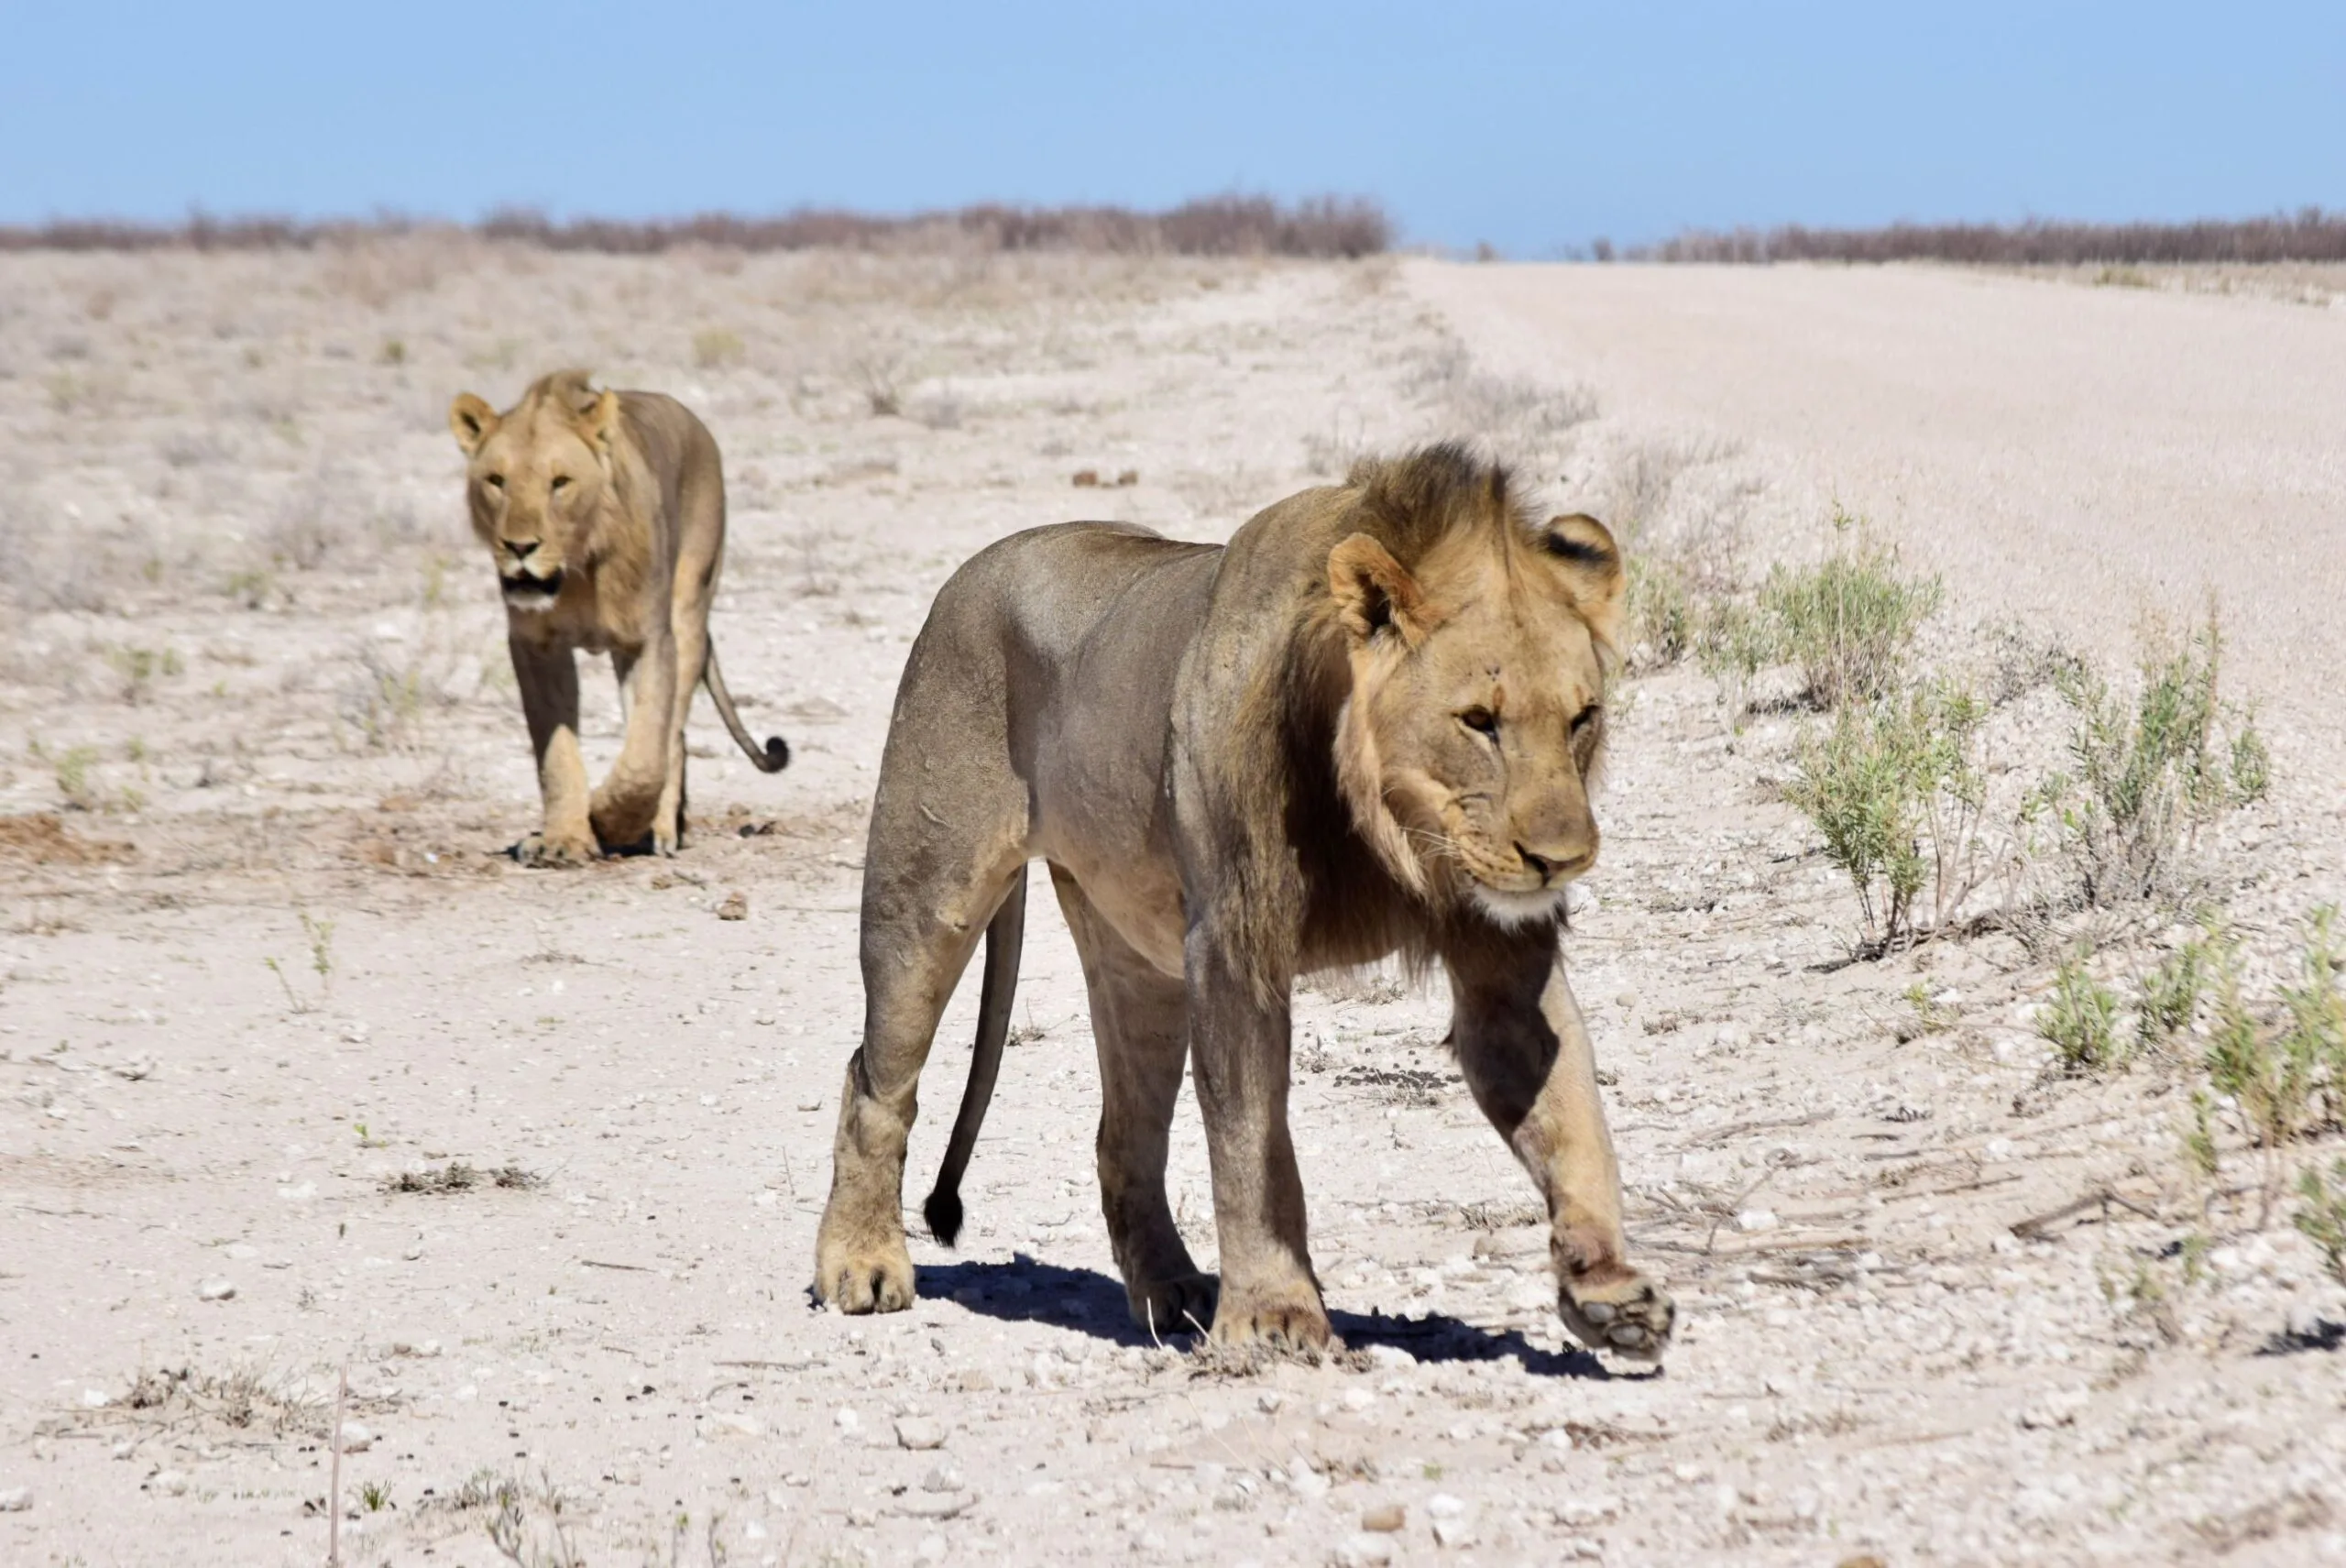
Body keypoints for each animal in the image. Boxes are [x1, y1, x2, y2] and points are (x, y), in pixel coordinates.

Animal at [448, 370, 787, 864]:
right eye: (496, 481)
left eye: (560, 482)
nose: (519, 547)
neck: (577, 572)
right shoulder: (535, 644)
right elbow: (556, 751)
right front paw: (565, 838)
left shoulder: (650, 639)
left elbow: (646, 756)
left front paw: (609, 820)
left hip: (689, 607)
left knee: (672, 736)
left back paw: (661, 829)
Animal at [813, 444, 1673, 1359]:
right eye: (1479, 720)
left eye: (1582, 718)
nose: (1562, 859)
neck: (1386, 825)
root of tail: (973, 570)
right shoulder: (1233, 938)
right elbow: (1252, 1143)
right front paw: (1273, 1314)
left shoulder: (1505, 959)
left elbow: (1570, 1116)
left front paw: (1608, 1287)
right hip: (925, 893)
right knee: (877, 1078)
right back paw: (861, 1263)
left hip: (1134, 953)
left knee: (1125, 1134)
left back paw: (1172, 1291)